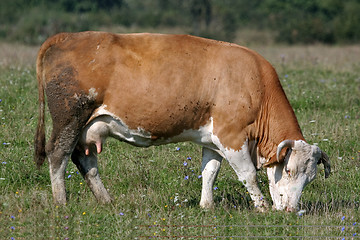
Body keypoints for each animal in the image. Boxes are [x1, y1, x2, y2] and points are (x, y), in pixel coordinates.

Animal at [35, 31, 330, 212]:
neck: (255, 84)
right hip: (69, 117)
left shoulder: (212, 140)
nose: (291, 210)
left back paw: (106, 200)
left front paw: (206, 205)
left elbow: (210, 171)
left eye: (311, 178)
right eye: (288, 170)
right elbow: (248, 175)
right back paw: (61, 202)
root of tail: (66, 36)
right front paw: (262, 207)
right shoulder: (232, 136)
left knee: (85, 160)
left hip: (88, 127)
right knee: (57, 154)